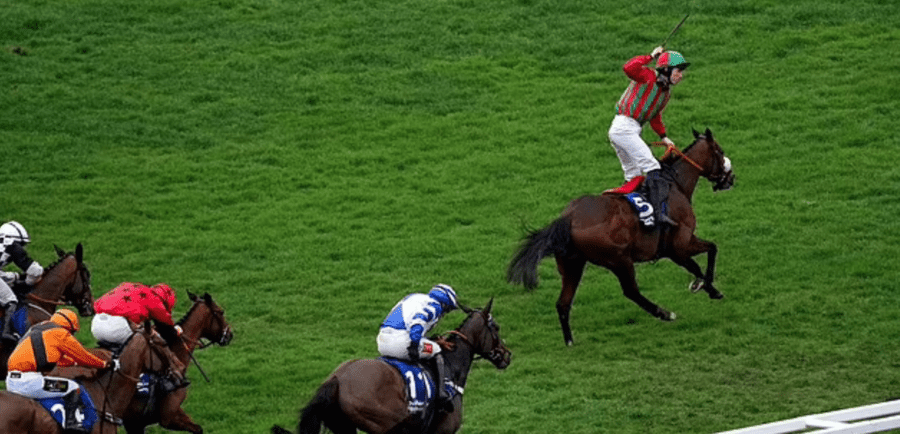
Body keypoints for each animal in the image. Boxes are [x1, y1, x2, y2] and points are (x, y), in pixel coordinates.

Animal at [122, 291, 234, 434]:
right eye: (221, 312)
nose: (229, 334)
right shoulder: (167, 417)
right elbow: (197, 429)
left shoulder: (137, 423)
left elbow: (198, 428)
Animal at [271, 299, 512, 434]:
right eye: (497, 327)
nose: (507, 355)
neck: (452, 368)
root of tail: (336, 379)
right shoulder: (442, 431)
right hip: (383, 422)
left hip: (344, 426)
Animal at [507, 128, 735, 346]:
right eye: (720, 151)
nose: (731, 177)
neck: (675, 184)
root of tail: (568, 218)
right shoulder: (679, 246)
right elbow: (705, 256)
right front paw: (705, 286)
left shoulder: (677, 248)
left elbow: (706, 254)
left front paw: (708, 288)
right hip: (619, 260)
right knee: (631, 291)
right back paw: (664, 313)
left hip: (572, 265)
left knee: (563, 303)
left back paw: (570, 341)